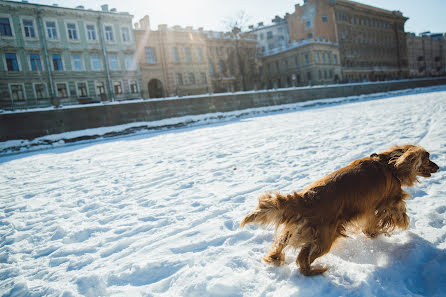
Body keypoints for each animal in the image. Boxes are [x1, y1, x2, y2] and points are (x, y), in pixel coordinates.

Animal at [240, 143, 440, 276]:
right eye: (428, 157)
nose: (438, 166)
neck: (390, 164)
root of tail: (305, 199)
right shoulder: (389, 202)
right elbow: (398, 213)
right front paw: (395, 225)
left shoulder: (369, 208)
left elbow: (372, 223)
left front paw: (372, 232)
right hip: (324, 239)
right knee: (302, 259)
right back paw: (316, 271)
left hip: (295, 230)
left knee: (281, 245)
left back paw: (274, 259)